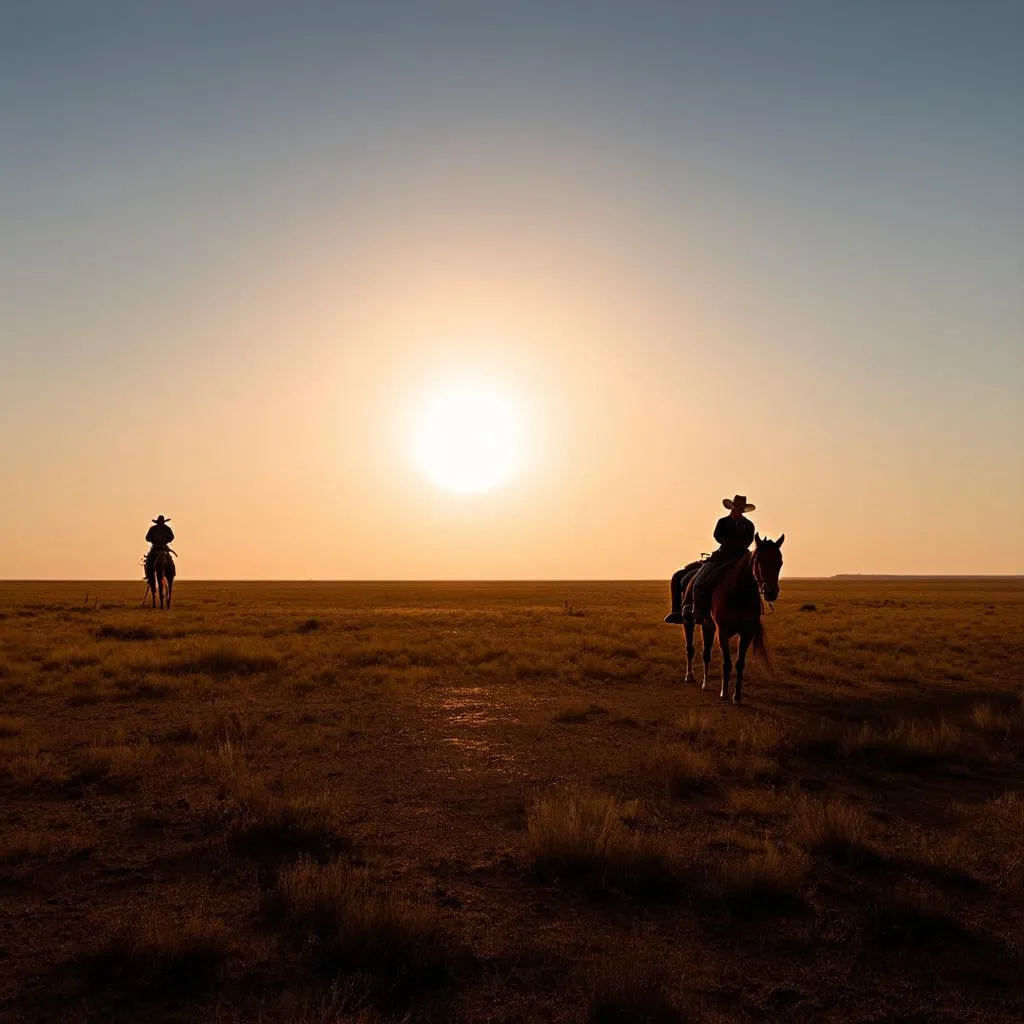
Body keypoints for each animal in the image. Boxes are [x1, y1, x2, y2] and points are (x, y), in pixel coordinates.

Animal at [684, 536, 786, 704]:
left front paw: (737, 696)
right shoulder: (722, 632)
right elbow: (727, 663)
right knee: (691, 649)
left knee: (706, 654)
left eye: (780, 561)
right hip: (690, 622)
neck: (739, 593)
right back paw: (691, 677)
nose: (771, 592)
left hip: (708, 626)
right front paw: (724, 692)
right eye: (759, 560)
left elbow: (739, 664)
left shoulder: (746, 633)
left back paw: (705, 683)